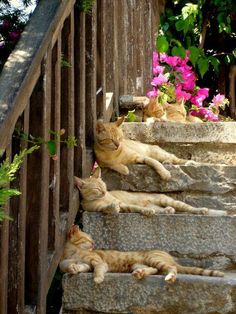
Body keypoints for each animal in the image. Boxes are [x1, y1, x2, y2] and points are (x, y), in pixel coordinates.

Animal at [59, 224, 225, 284]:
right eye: (88, 239)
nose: (94, 244)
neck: (73, 252)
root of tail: (170, 257)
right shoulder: (83, 264)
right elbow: (71, 266)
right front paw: (73, 268)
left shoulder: (98, 262)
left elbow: (98, 269)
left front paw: (98, 278)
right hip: (138, 264)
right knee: (155, 270)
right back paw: (140, 273)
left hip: (153, 258)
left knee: (171, 269)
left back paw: (169, 277)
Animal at [74, 167, 208, 216]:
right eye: (96, 189)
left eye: (103, 186)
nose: (104, 192)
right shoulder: (99, 209)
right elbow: (108, 209)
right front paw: (112, 208)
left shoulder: (124, 204)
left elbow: (136, 207)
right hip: (158, 205)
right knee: (160, 210)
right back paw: (167, 210)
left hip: (167, 200)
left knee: (189, 208)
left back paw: (202, 210)